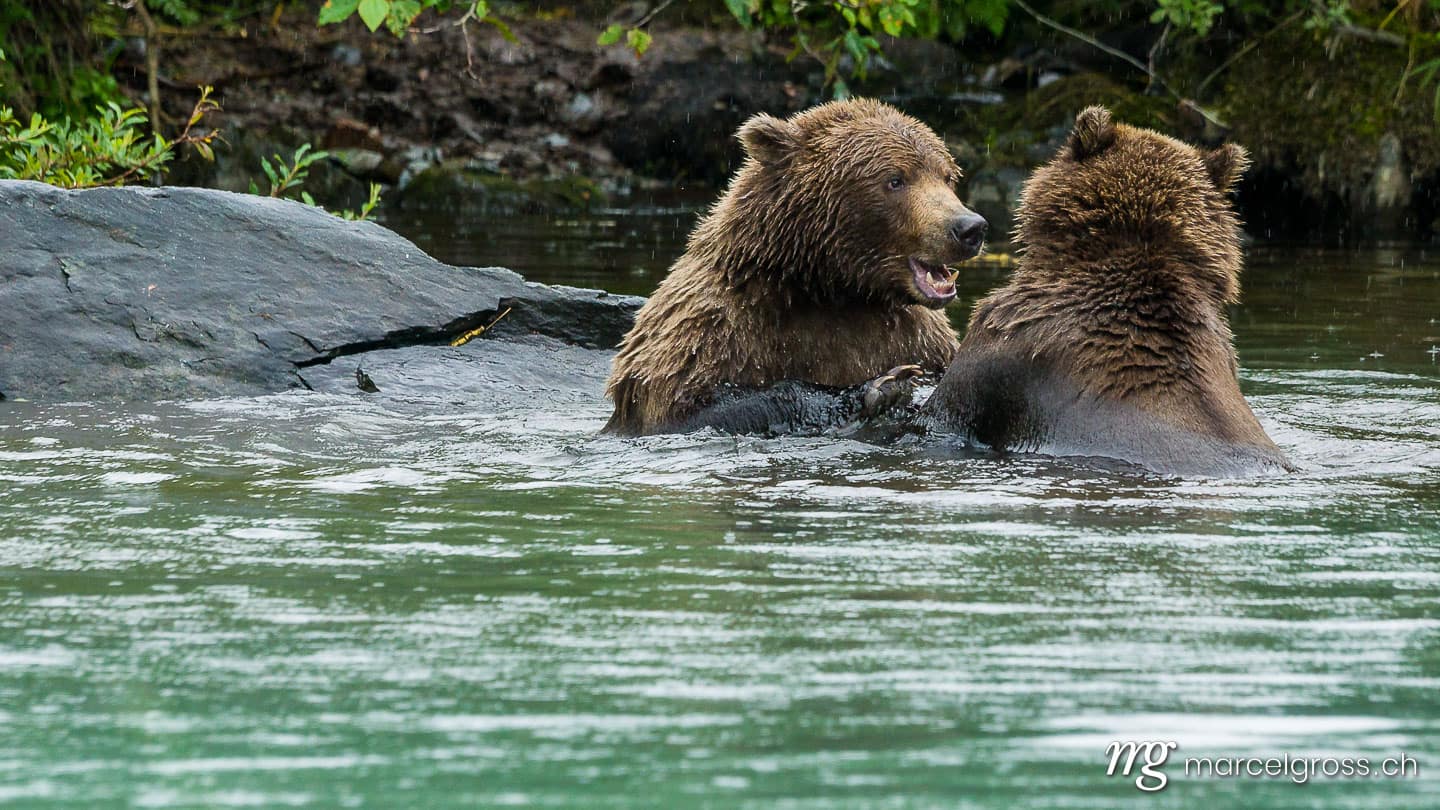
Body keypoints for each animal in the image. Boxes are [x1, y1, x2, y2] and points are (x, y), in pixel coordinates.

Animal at [604, 98, 989, 436]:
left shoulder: (918, 336)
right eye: (896, 179)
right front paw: (884, 384)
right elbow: (689, 407)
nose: (969, 227)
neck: (828, 285)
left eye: (947, 176)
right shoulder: (712, 329)